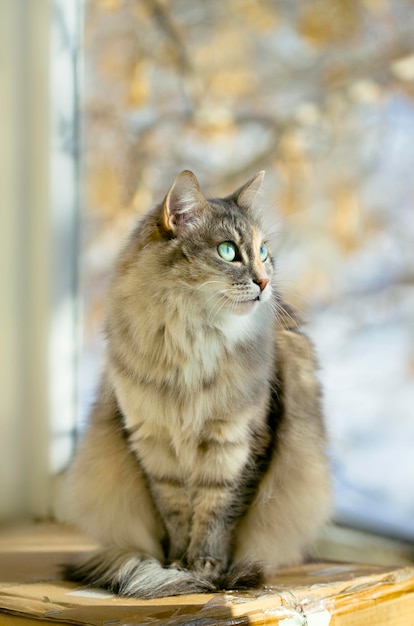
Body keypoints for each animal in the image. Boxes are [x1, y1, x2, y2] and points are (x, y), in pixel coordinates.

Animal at [64, 169, 330, 596]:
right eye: (228, 251)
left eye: (263, 251)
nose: (265, 282)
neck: (190, 342)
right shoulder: (154, 447)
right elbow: (175, 515)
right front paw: (177, 563)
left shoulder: (238, 444)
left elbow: (217, 516)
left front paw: (206, 568)